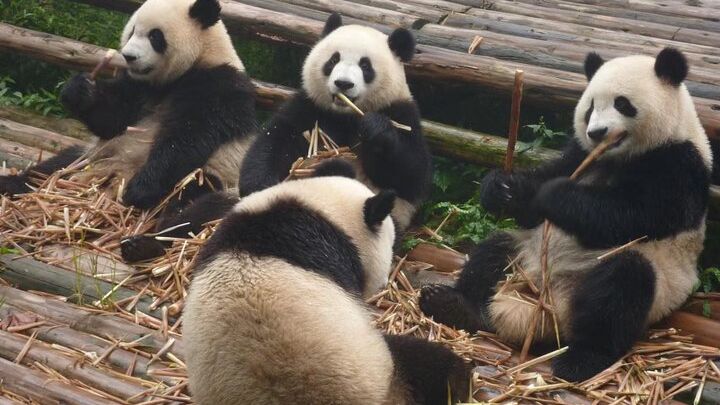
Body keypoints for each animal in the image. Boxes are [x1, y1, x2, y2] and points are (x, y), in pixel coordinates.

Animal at [0, 0, 256, 261]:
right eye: (132, 31)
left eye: (155, 36)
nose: (129, 56)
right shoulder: (137, 87)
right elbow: (112, 119)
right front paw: (80, 90)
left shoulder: (218, 88)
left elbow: (187, 138)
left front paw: (139, 190)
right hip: (92, 158)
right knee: (53, 167)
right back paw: (10, 184)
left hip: (218, 178)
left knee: (196, 207)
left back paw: (145, 244)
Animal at [240, 13, 432, 233]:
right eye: (333, 60)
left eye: (365, 66)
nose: (343, 84)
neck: (345, 115)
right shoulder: (310, 107)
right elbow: (276, 140)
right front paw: (259, 186)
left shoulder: (402, 112)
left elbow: (412, 174)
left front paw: (375, 128)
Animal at [419, 48, 712, 382]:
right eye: (590, 108)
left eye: (622, 103)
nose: (596, 132)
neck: (617, 157)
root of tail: (545, 307)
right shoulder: (579, 153)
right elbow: (541, 192)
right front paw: (502, 188)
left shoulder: (679, 165)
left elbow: (632, 215)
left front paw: (554, 195)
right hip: (525, 256)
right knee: (493, 251)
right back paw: (451, 304)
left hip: (652, 284)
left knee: (620, 288)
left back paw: (581, 360)